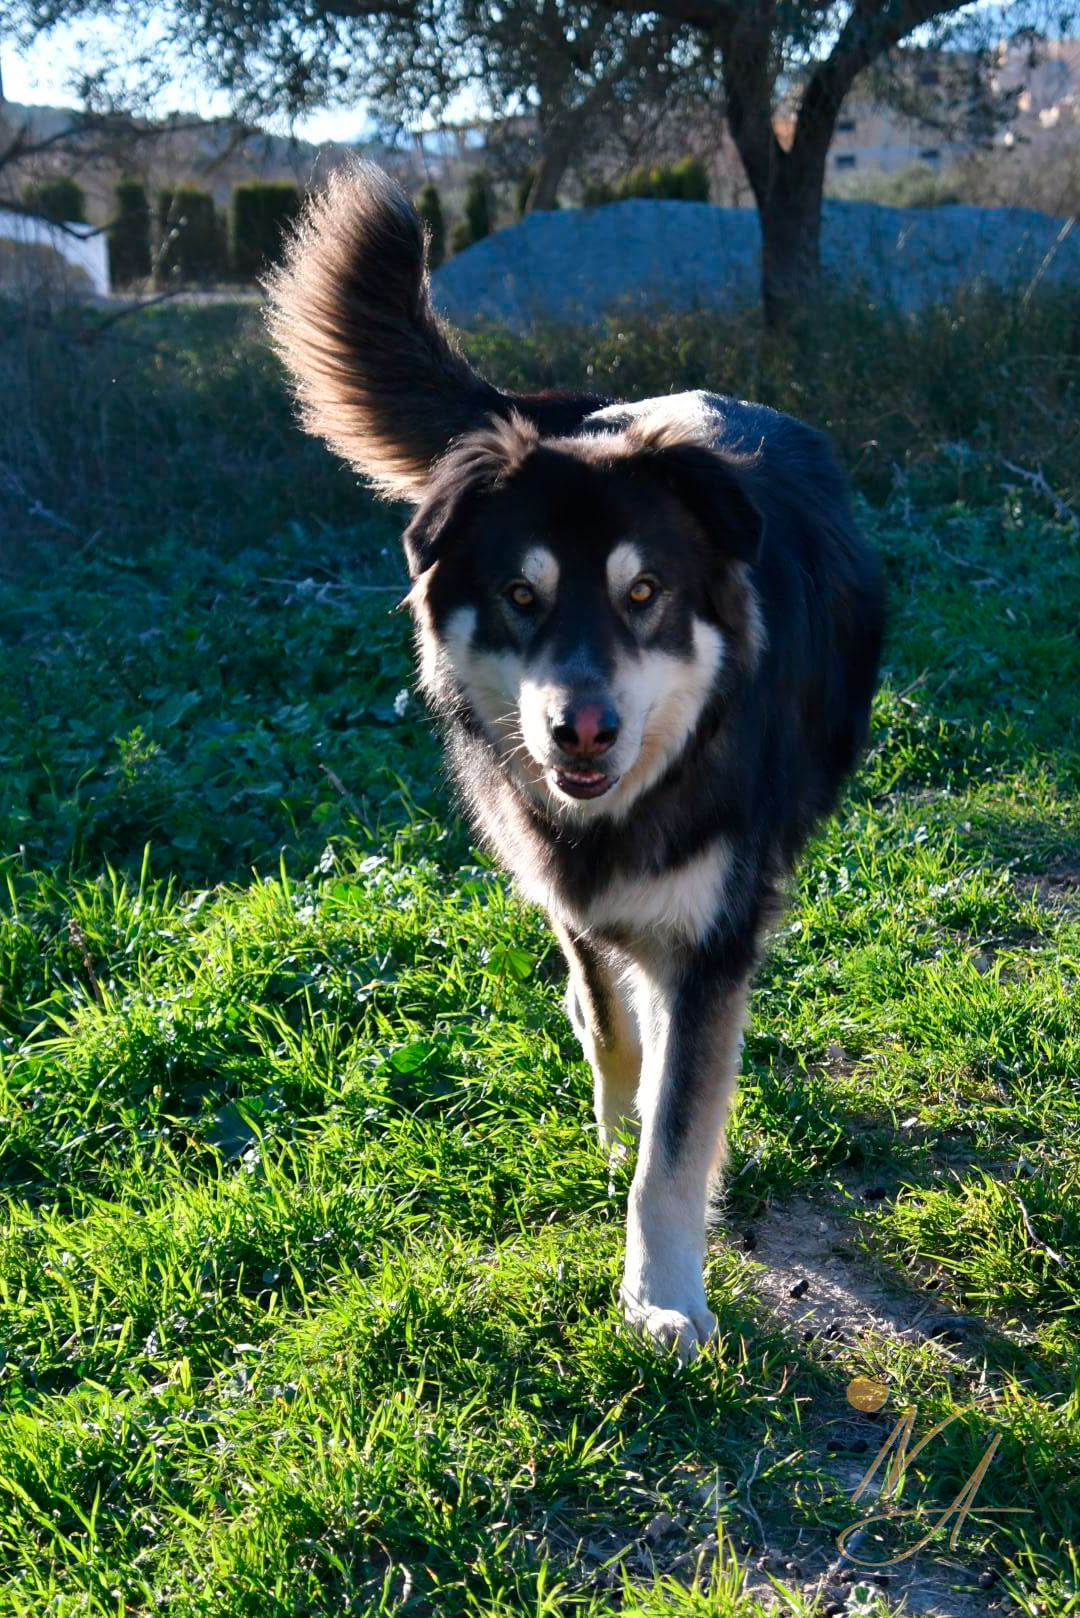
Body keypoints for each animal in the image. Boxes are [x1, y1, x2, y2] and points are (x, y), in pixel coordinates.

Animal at [265, 164, 880, 1359]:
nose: (578, 731)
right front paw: (620, 1123)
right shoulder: (570, 887)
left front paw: (663, 1293)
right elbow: (612, 1025)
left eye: (645, 593)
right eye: (521, 594)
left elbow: (677, 1143)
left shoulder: (714, 931)